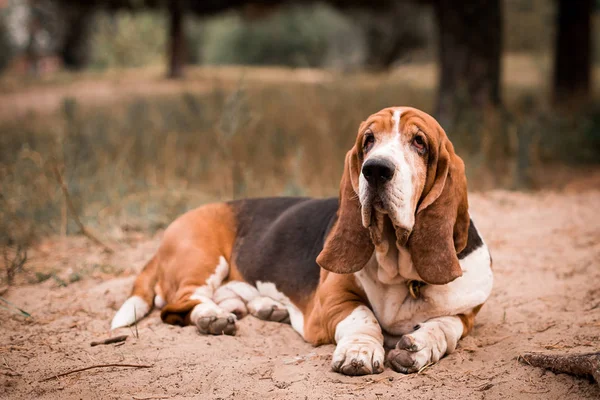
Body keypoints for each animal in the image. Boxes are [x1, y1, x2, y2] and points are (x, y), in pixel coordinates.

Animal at [111, 106, 492, 376]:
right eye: (368, 140)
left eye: (419, 143)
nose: (375, 169)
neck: (400, 267)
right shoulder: (332, 302)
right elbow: (363, 317)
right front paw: (359, 351)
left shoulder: (466, 314)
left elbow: (445, 325)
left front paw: (421, 345)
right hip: (202, 259)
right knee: (180, 304)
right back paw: (213, 317)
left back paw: (266, 307)